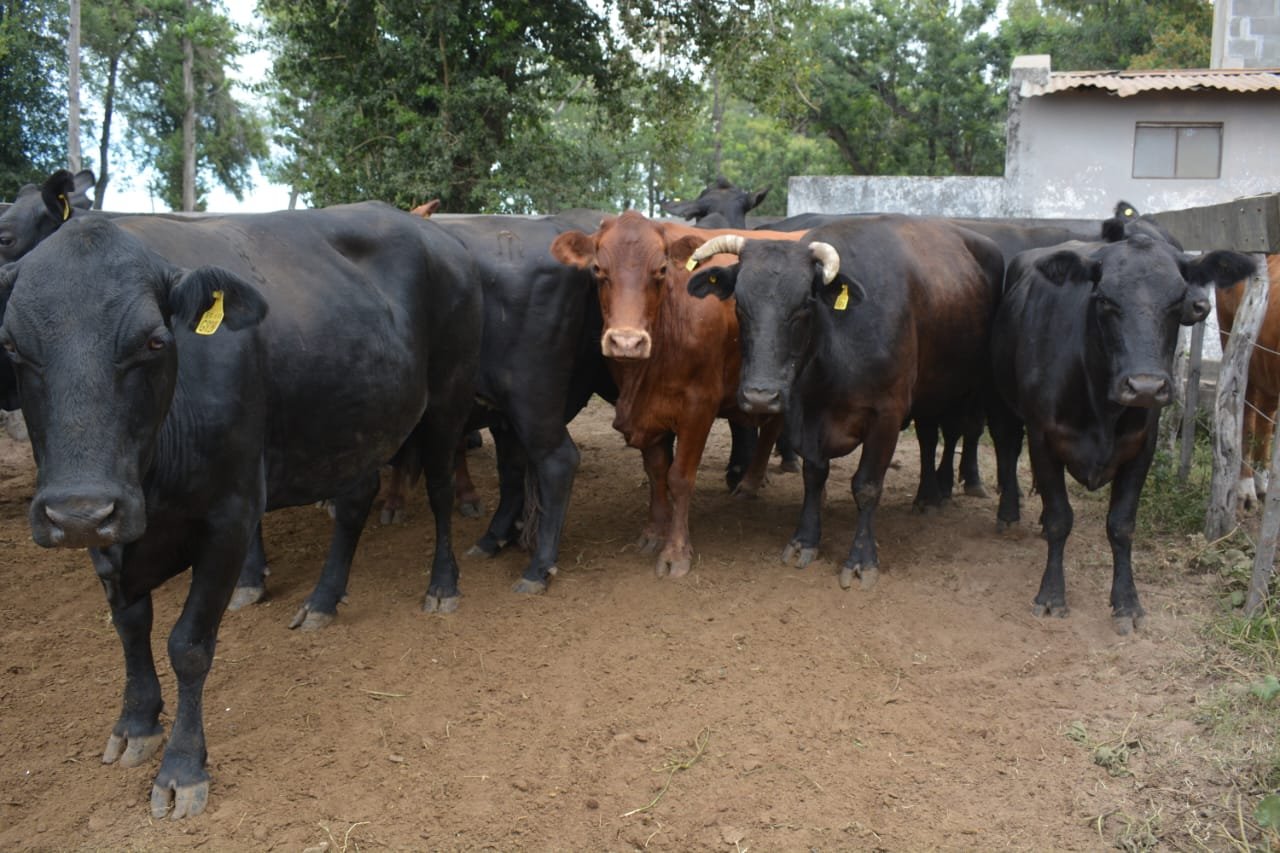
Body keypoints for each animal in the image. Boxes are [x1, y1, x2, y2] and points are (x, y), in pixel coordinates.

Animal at [0, 209, 480, 818]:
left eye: (154, 341)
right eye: (12, 347)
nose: (79, 511)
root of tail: (438, 234)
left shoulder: (229, 516)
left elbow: (189, 644)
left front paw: (183, 768)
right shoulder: (109, 531)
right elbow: (130, 625)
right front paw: (136, 723)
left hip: (448, 400)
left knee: (441, 492)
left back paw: (442, 585)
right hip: (353, 422)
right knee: (354, 503)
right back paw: (323, 600)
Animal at [550, 211, 793, 578]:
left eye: (662, 270)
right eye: (598, 270)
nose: (626, 342)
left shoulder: (699, 406)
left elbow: (679, 477)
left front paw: (676, 551)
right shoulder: (650, 413)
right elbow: (656, 472)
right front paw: (654, 531)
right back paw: (751, 483)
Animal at [685, 215, 1004, 590]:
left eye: (804, 305)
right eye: (740, 306)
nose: (760, 395)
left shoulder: (887, 414)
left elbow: (866, 486)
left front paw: (861, 559)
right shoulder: (806, 415)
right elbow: (813, 474)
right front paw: (805, 540)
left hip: (966, 387)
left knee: (956, 432)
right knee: (928, 438)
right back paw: (928, 495)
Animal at [988, 228, 1255, 633]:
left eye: (1177, 300)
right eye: (1103, 300)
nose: (1145, 386)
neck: (1101, 407)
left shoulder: (1141, 447)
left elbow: (1121, 525)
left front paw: (1127, 602)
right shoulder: (1043, 437)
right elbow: (1060, 518)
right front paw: (1051, 595)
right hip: (1004, 404)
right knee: (1006, 449)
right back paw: (1008, 513)